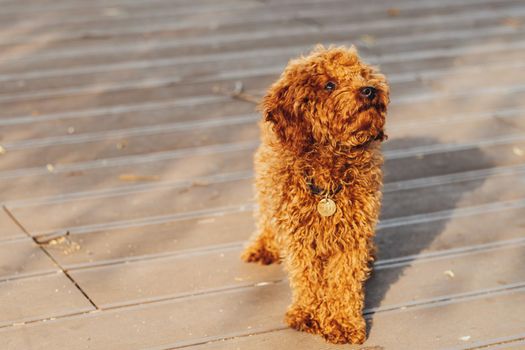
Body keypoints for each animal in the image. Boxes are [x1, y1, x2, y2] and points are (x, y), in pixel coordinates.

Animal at [242, 44, 388, 344]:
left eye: (361, 74)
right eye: (329, 84)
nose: (369, 90)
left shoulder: (352, 235)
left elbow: (344, 282)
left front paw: (343, 322)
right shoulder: (298, 233)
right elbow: (306, 276)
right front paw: (308, 313)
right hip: (264, 179)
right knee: (264, 217)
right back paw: (262, 246)